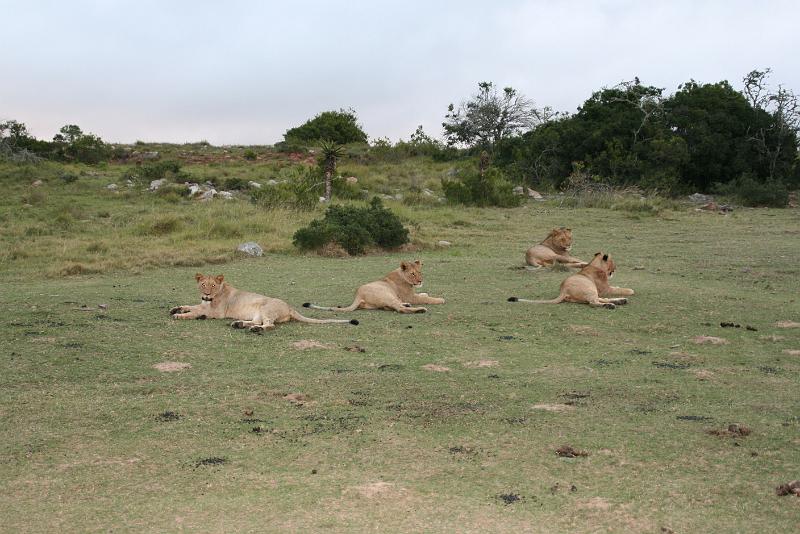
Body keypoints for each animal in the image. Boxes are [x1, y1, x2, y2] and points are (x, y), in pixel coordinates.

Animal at [170, 274, 358, 332]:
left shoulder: (215, 313)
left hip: (266, 308)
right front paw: (176, 309)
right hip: (258, 312)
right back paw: (239, 324)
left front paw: (179, 316)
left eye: (213, 285)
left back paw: (254, 329)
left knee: (268, 325)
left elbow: (194, 312)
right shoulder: (203, 305)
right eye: (203, 284)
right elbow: (190, 306)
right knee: (256, 321)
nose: (207, 293)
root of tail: (289, 306)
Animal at [304, 262, 446, 316]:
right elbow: (427, 298)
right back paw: (420, 309)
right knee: (399, 308)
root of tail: (358, 295)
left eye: (419, 272)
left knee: (392, 306)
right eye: (412, 274)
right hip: (387, 294)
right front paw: (440, 299)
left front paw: (425, 292)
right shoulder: (410, 296)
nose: (420, 281)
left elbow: (423, 294)